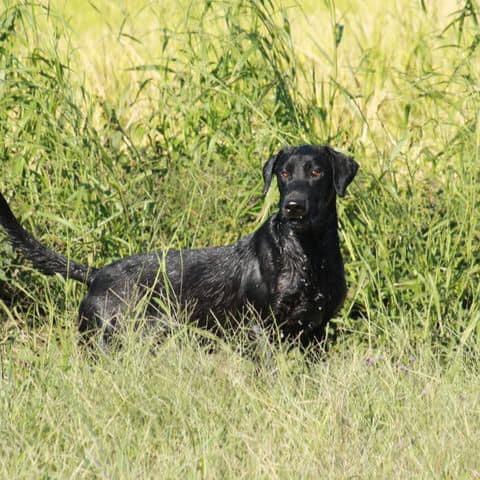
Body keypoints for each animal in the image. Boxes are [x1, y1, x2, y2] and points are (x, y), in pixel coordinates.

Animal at [0, 144, 358, 346]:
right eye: (283, 173)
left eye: (316, 172)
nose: (293, 206)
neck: (309, 254)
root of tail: (98, 275)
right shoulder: (261, 329)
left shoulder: (316, 330)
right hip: (104, 340)